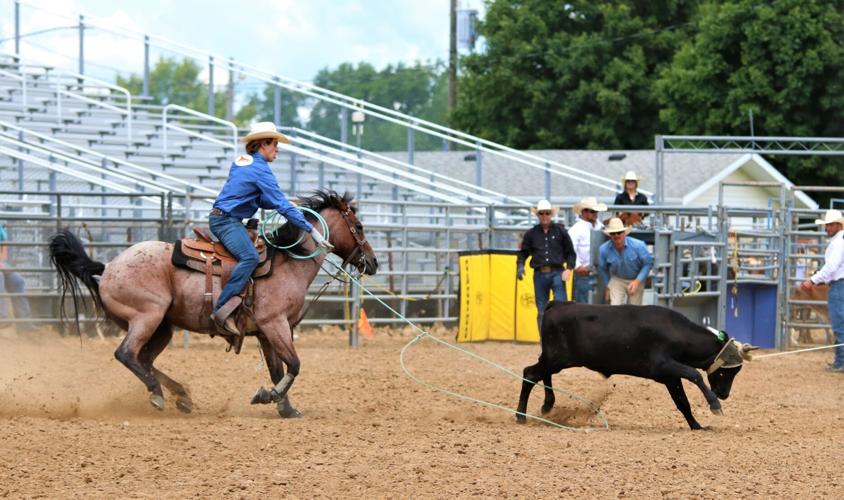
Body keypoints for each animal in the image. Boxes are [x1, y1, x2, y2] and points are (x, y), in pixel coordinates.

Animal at [47, 191, 376, 418]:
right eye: (359, 226)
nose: (372, 263)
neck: (287, 263)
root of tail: (107, 269)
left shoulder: (266, 332)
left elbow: (277, 370)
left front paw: (285, 408)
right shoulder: (275, 324)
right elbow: (294, 365)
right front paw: (268, 397)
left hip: (163, 327)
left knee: (145, 359)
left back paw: (181, 395)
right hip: (147, 316)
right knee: (126, 354)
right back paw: (158, 395)